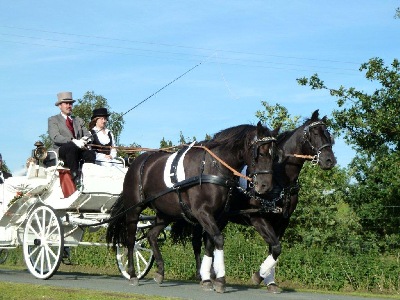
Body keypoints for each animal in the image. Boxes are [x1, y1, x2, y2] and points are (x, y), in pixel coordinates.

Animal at [107, 122, 282, 292]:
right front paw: (219, 279)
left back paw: (160, 271)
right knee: (130, 240)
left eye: (275, 156)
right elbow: (218, 239)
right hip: (134, 209)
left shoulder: (219, 216)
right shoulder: (201, 212)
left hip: (165, 213)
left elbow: (212, 242)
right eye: (260, 153)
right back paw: (132, 274)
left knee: (151, 235)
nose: (265, 186)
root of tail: (136, 162)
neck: (213, 167)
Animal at [170, 109, 336, 292]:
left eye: (328, 134)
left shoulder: (282, 220)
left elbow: (274, 249)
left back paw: (212, 275)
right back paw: (205, 276)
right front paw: (258, 276)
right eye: (315, 133)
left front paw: (270, 281)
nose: (330, 160)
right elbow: (276, 247)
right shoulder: (257, 217)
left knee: (209, 241)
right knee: (200, 242)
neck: (279, 178)